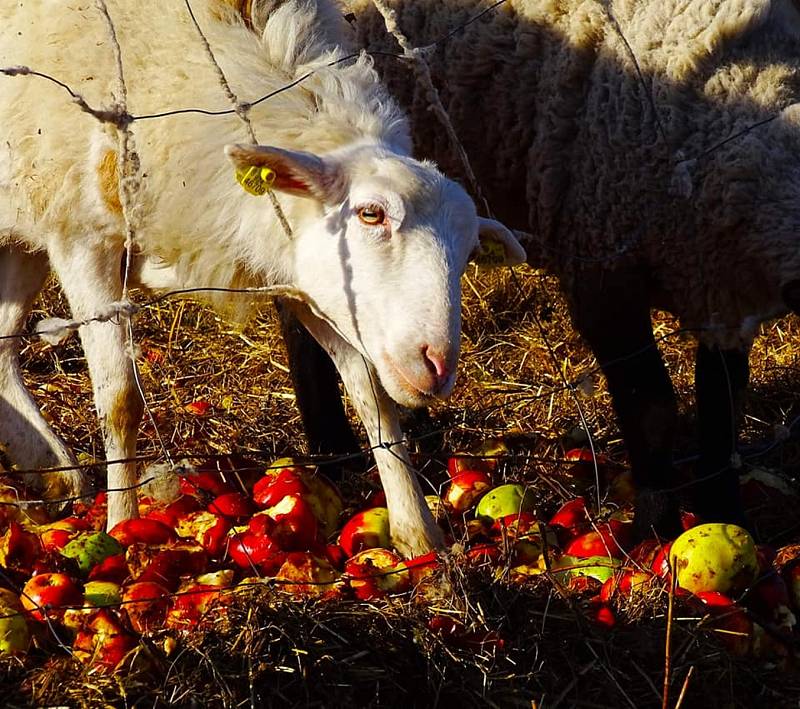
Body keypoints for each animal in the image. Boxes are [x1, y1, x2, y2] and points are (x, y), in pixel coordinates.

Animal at [0, 0, 524, 552]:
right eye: (371, 214)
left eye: (467, 254)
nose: (438, 365)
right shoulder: (82, 238)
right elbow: (120, 400)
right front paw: (121, 528)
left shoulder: (307, 279)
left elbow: (371, 393)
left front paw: (418, 533)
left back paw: (52, 472)